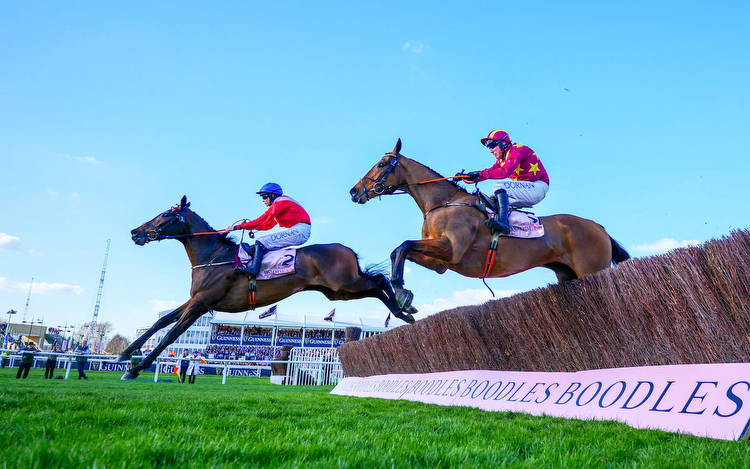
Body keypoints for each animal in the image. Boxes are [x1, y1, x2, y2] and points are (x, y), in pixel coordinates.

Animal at [120, 196, 420, 378]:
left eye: (165, 214)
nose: (135, 232)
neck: (215, 256)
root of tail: (346, 249)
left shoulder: (203, 303)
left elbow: (171, 334)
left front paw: (137, 368)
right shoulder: (194, 300)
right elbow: (162, 322)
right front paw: (126, 353)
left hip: (345, 283)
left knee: (379, 281)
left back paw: (403, 303)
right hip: (339, 291)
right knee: (376, 287)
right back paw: (404, 310)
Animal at [350, 137, 632, 308]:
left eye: (382, 163)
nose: (354, 191)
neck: (444, 203)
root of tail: (599, 228)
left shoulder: (452, 249)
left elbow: (404, 245)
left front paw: (400, 291)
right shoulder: (439, 262)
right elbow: (400, 250)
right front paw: (400, 292)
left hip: (591, 270)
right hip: (568, 275)